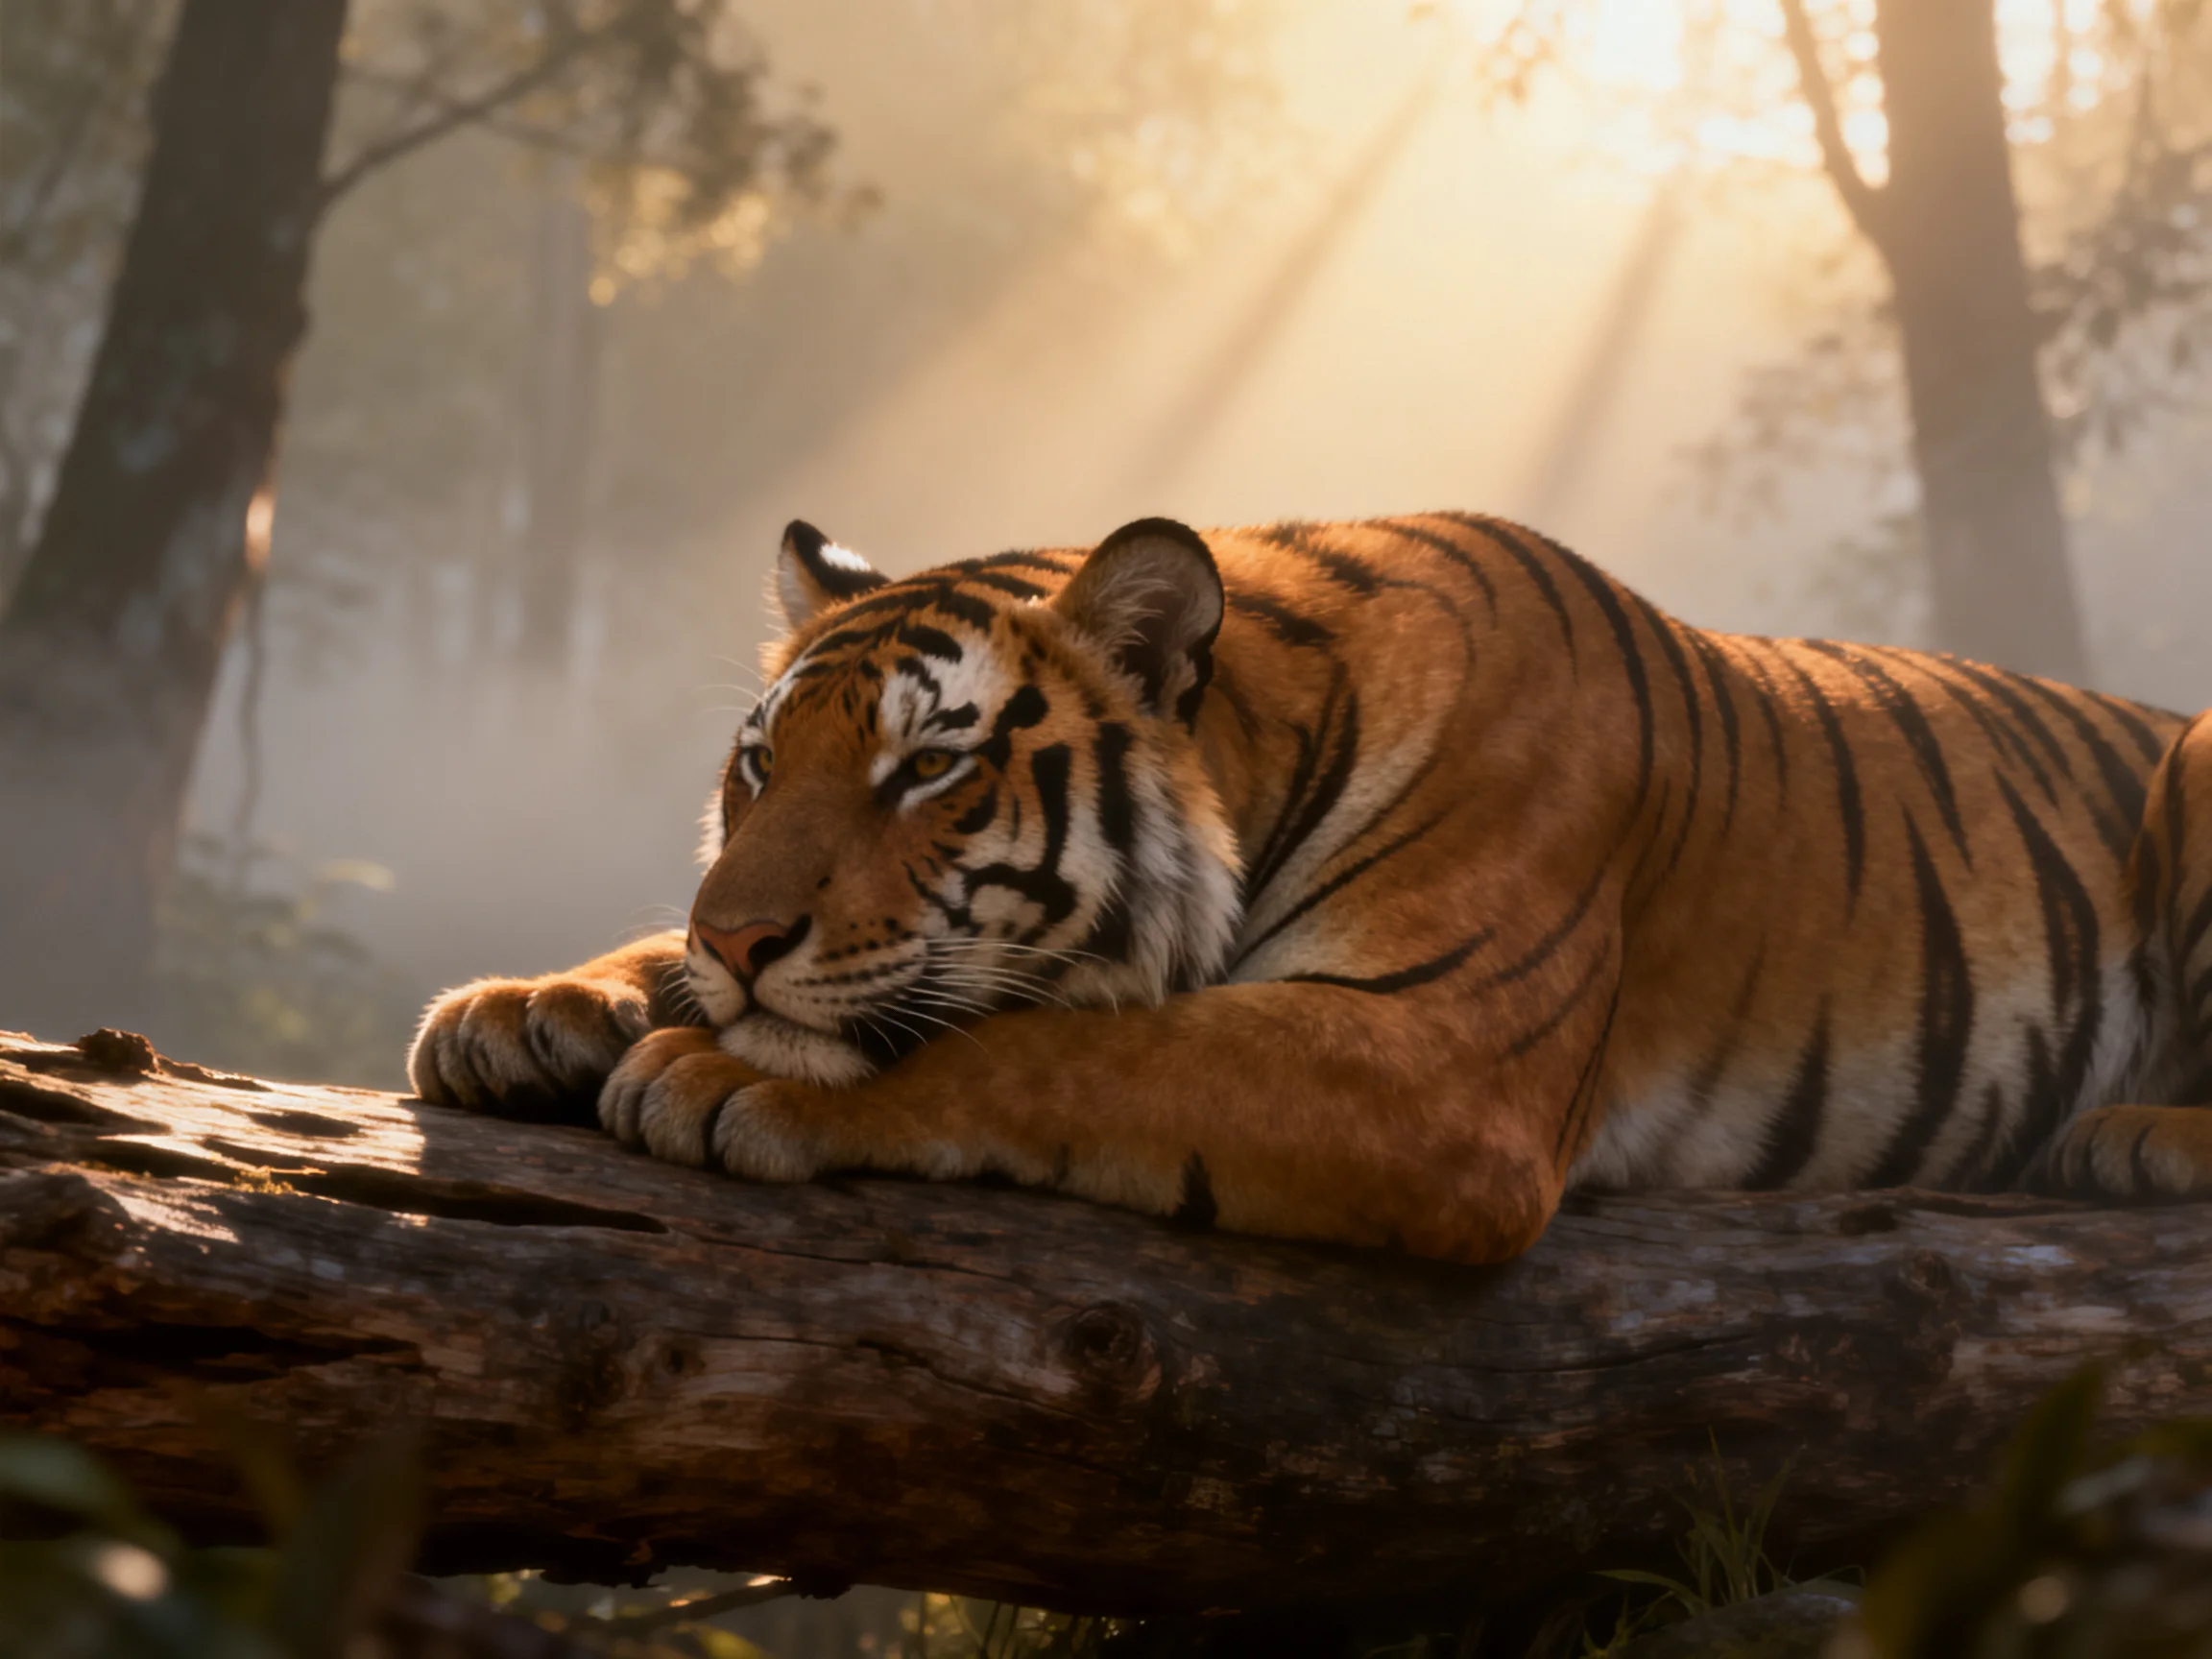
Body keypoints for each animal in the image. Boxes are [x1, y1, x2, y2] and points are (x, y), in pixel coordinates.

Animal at [408, 512, 2212, 1263]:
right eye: (759, 765)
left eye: (925, 768)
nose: (738, 936)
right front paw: (532, 1006)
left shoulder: (1436, 1062)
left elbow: (1063, 1043)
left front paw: (729, 1072)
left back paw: (2133, 1137)